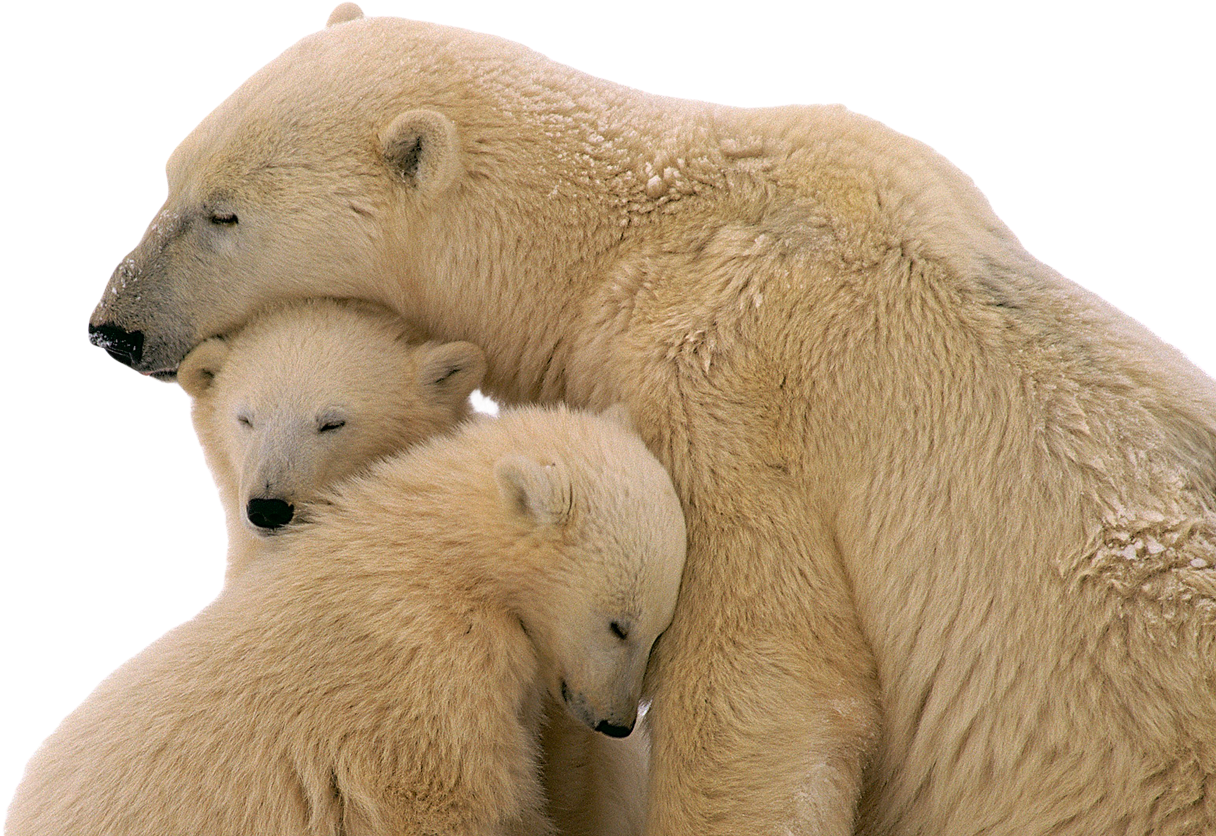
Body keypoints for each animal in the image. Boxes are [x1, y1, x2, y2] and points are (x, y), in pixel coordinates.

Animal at [4, 404, 686, 835]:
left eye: (659, 631)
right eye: (619, 624)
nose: (618, 723)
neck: (440, 555)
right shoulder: (423, 671)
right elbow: (450, 798)